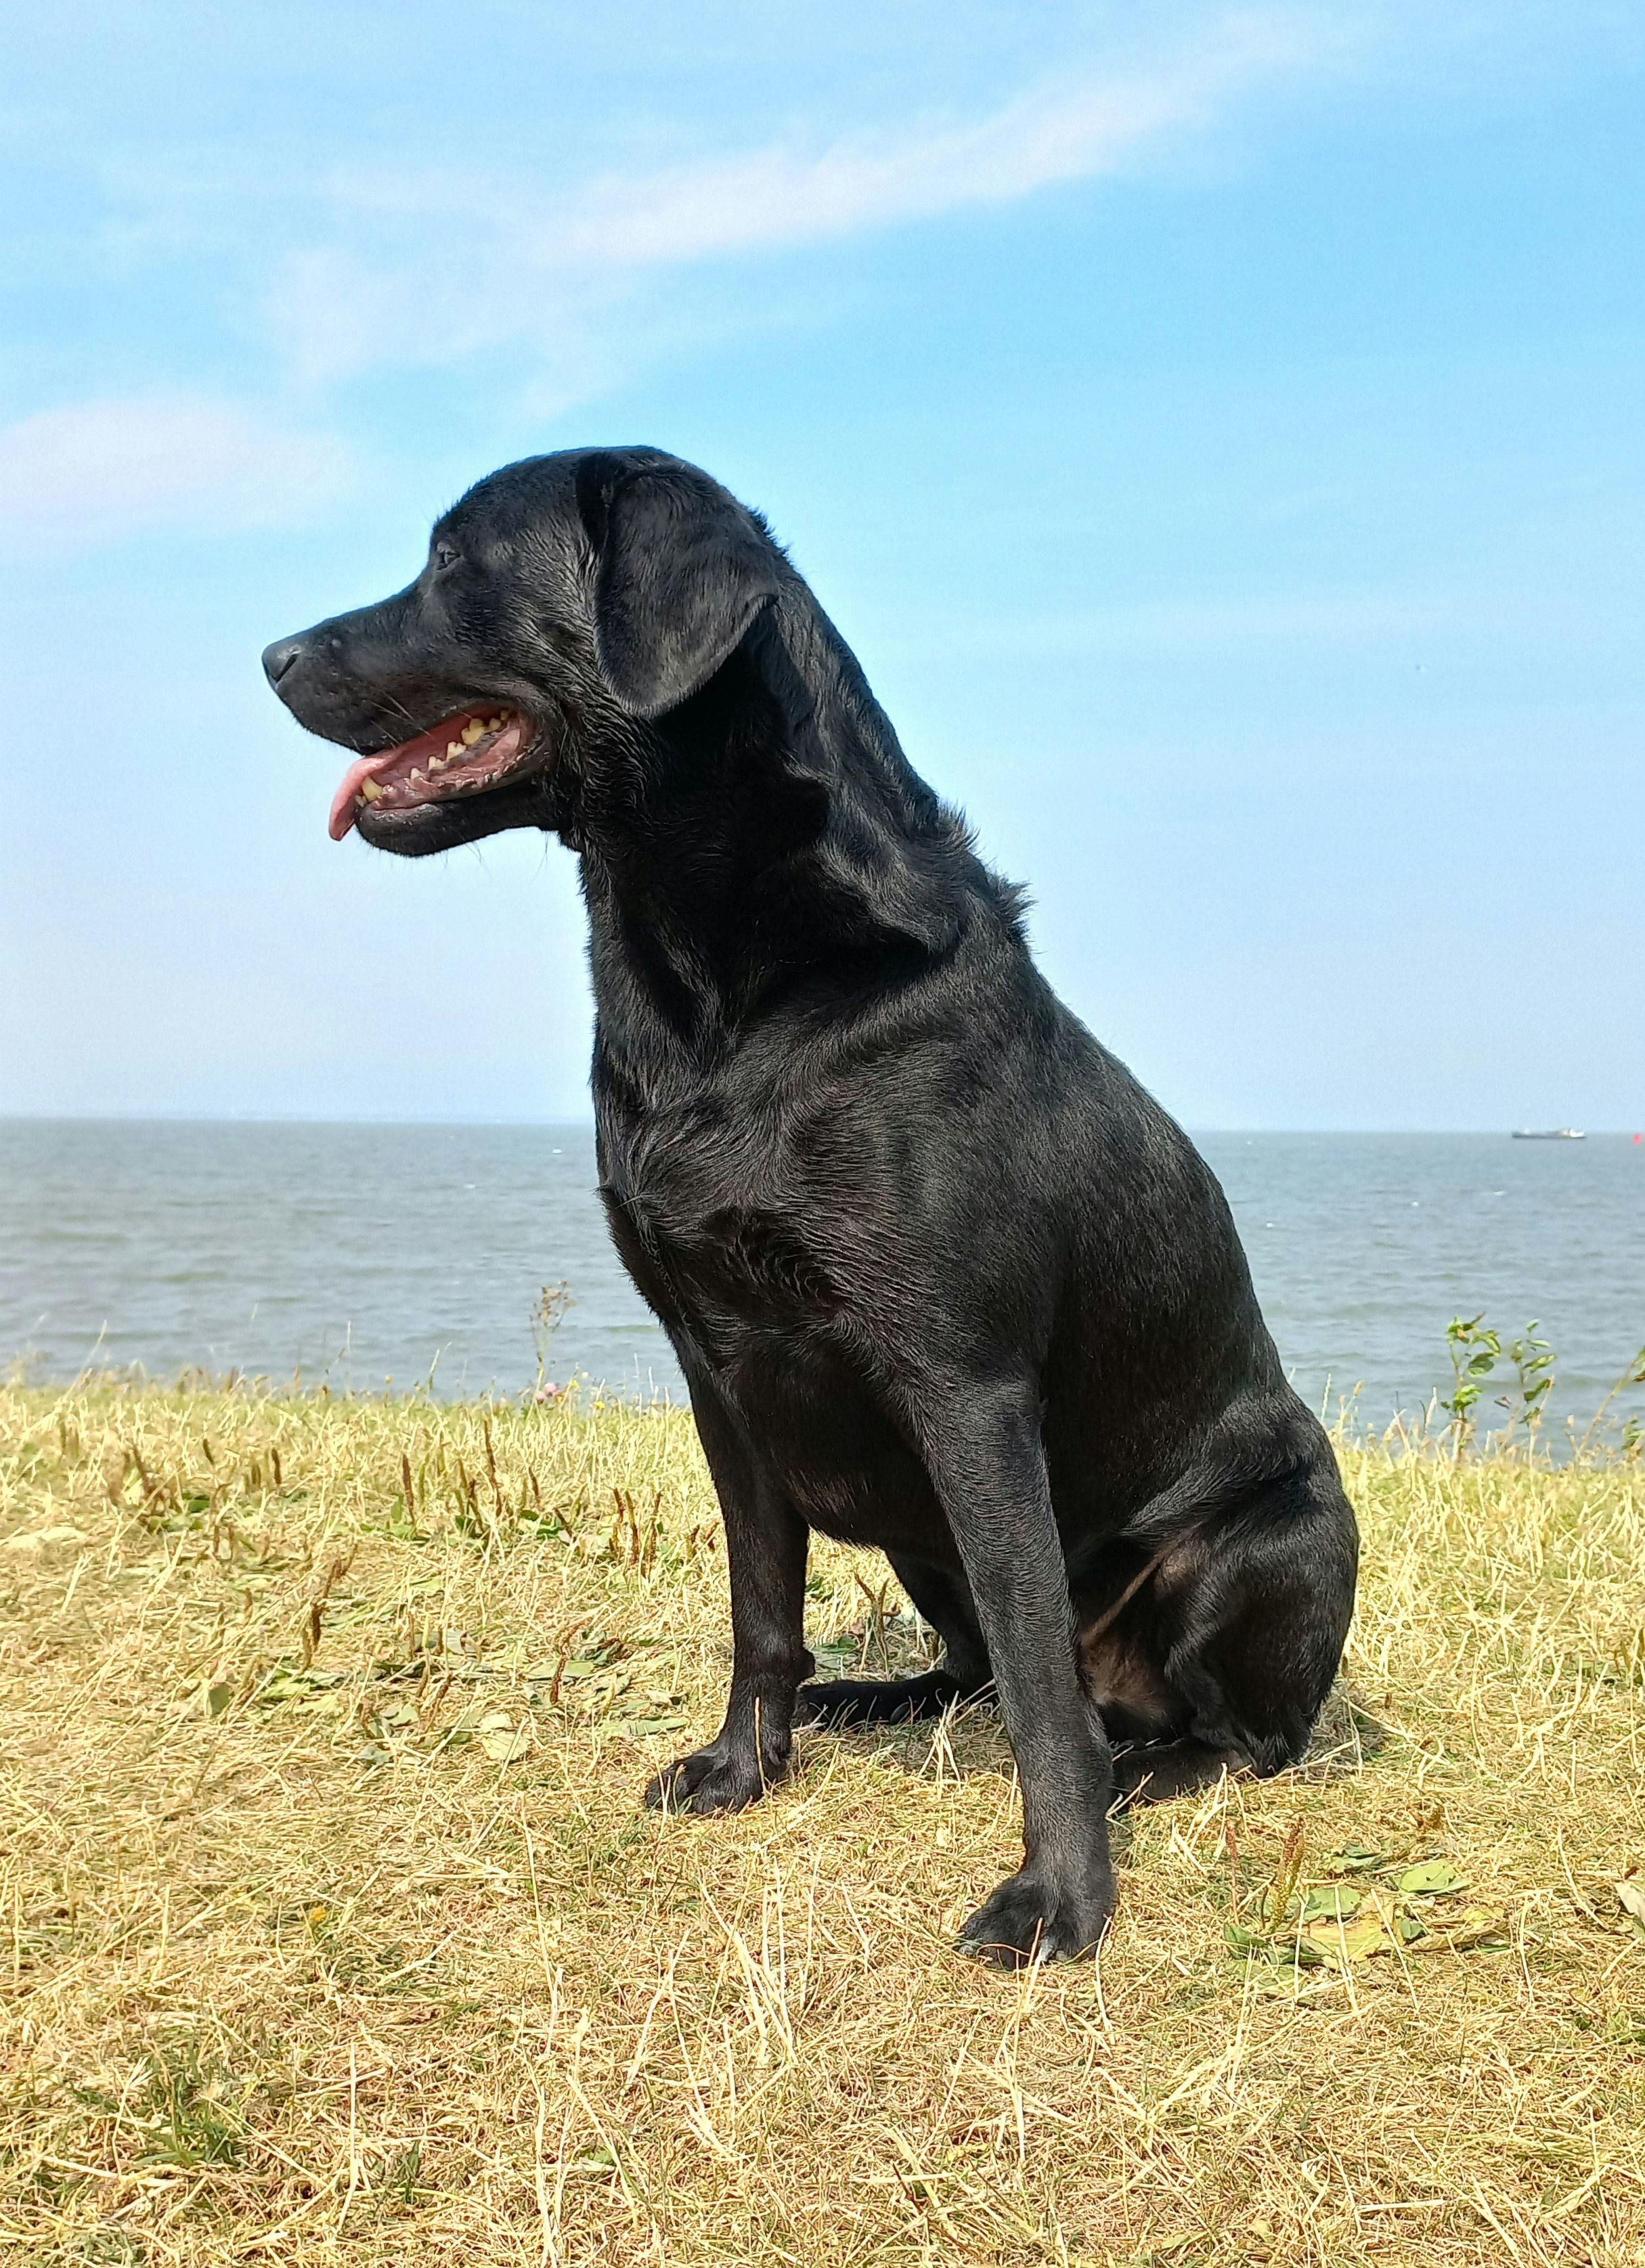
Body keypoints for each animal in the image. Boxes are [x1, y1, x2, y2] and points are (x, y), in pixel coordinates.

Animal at [263, 447, 1352, 1968]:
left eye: (458, 562)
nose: (271, 655)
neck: (735, 995)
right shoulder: (720, 1369)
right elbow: (762, 1611)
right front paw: (743, 1764)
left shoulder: (967, 1385)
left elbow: (1040, 1690)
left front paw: (1061, 1898)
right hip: (915, 1535)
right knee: (970, 1667)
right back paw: (871, 1699)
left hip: (1266, 1538)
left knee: (1216, 1728)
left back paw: (1149, 1767)